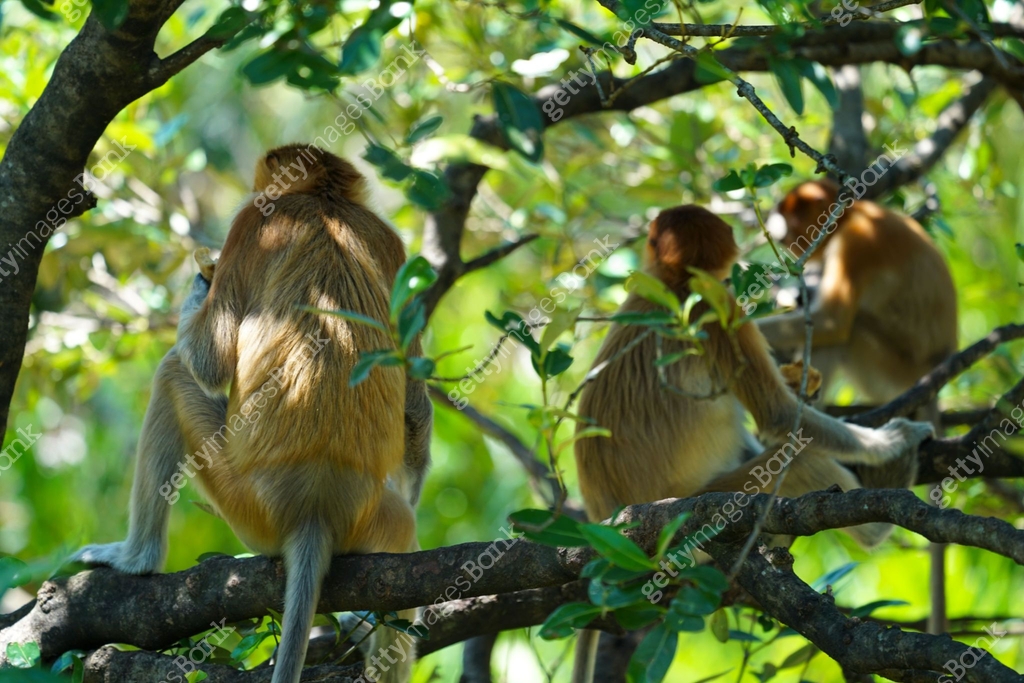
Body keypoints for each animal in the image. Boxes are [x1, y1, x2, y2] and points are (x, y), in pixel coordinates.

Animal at [73, 144, 432, 683]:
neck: (324, 202)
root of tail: (315, 506)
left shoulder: (250, 226)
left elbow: (209, 359)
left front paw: (202, 278)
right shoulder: (391, 242)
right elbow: (414, 399)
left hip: (244, 498)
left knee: (172, 374)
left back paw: (136, 560)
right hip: (376, 517)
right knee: (400, 551)